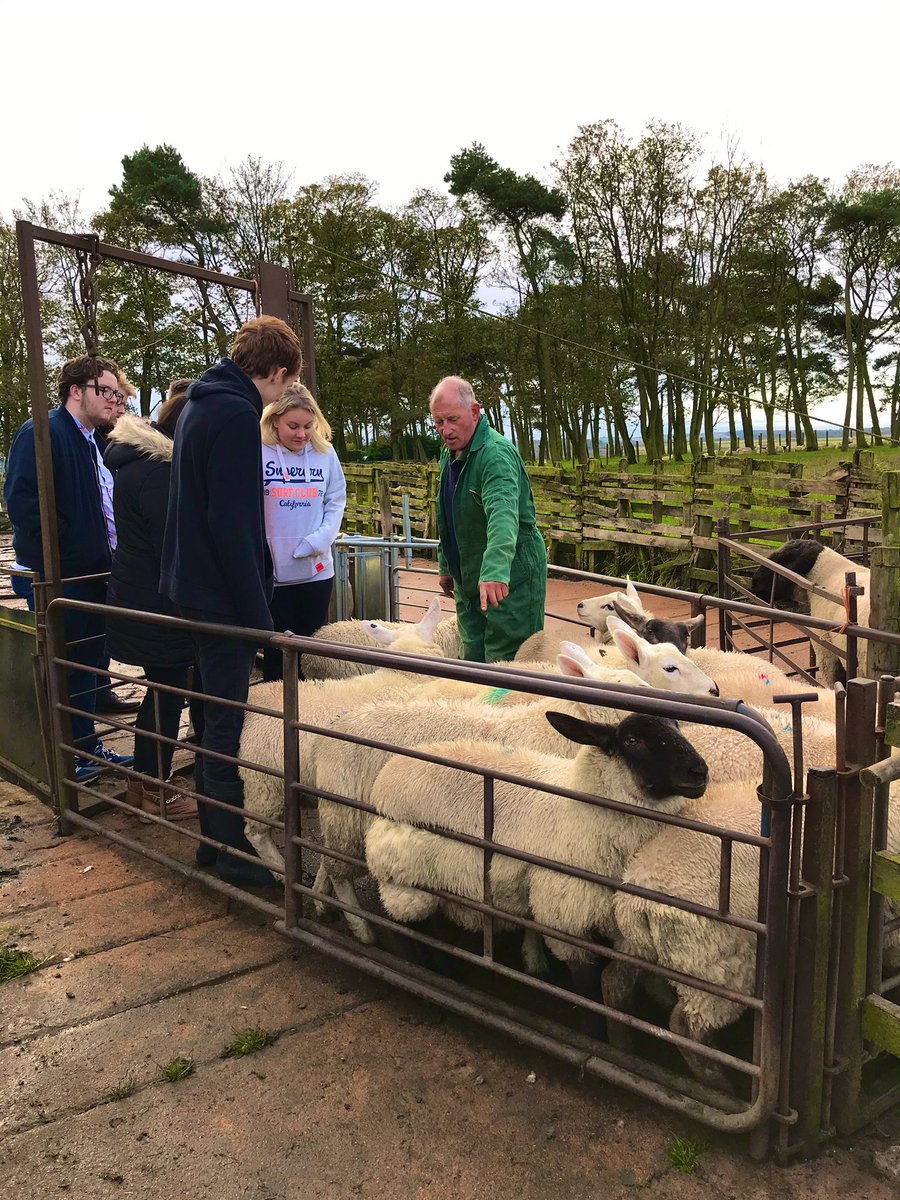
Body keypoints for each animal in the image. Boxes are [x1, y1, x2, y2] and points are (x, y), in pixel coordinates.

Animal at [362, 705, 710, 969]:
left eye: (676, 725)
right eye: (633, 739)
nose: (700, 772)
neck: (580, 807)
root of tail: (387, 777)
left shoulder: (619, 929)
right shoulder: (564, 916)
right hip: (403, 878)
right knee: (396, 919)